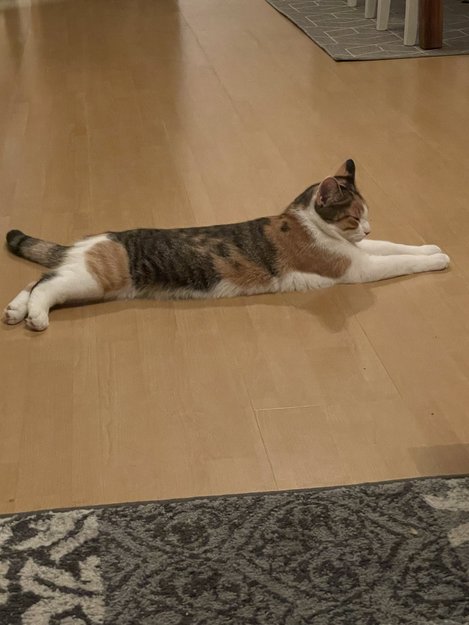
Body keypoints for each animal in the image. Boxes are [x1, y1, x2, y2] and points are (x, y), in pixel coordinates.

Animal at [3, 159, 449, 332]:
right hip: (94, 280)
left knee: (36, 280)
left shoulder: (358, 252)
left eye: (367, 216)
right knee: (45, 286)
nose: (368, 229)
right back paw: (35, 317)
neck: (312, 224)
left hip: (81, 276)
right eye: (355, 217)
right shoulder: (355, 267)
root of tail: (86, 241)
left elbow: (397, 247)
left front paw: (429, 246)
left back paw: (14, 311)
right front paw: (439, 258)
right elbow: (396, 263)